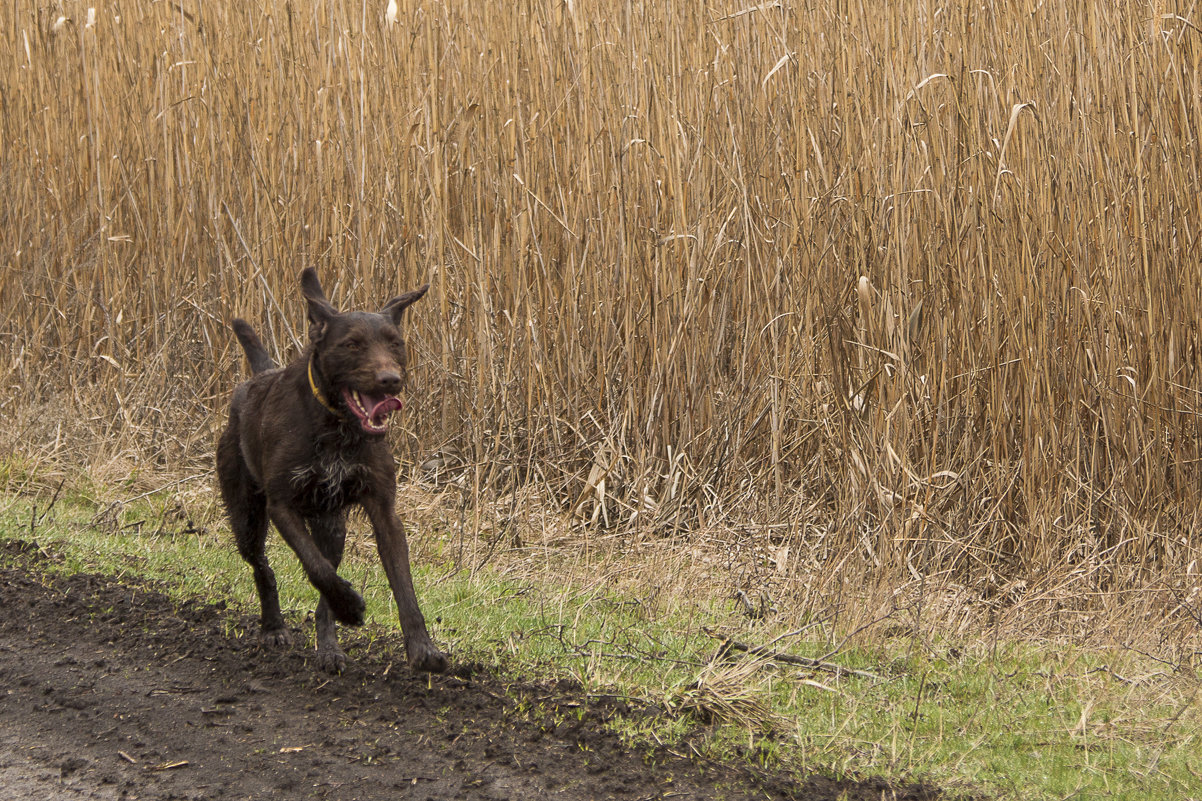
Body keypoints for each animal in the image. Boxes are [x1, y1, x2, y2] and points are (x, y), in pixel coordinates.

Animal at [216, 269, 447, 673]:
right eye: (352, 344)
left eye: (395, 343)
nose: (390, 380)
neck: (337, 427)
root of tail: (257, 379)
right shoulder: (282, 505)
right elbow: (317, 568)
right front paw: (351, 608)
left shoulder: (384, 510)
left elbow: (403, 586)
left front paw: (422, 647)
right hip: (246, 516)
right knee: (263, 566)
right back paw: (273, 627)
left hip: (332, 526)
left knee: (323, 581)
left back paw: (329, 647)